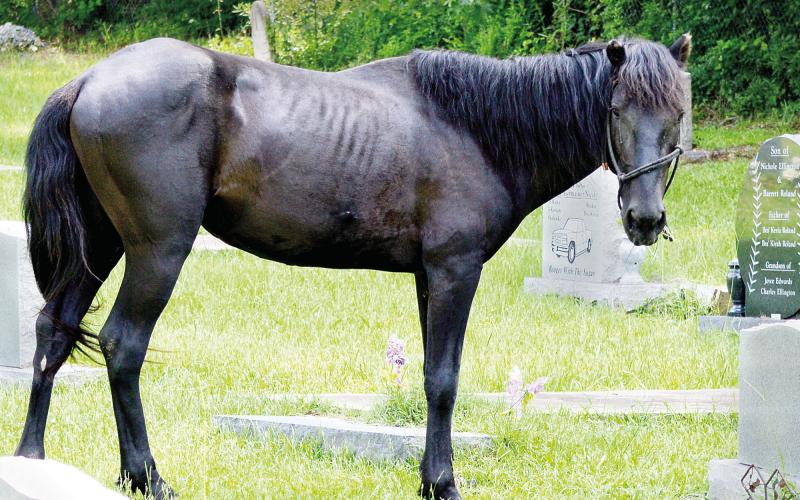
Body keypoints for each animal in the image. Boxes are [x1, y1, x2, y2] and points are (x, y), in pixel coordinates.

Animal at [15, 34, 691, 499]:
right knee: (122, 347)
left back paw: (31, 462)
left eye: (679, 113)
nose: (645, 219)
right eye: (618, 110)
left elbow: (431, 377)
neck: (473, 127)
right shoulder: (454, 272)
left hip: (99, 248)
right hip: (157, 251)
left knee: (53, 334)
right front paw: (442, 483)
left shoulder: (427, 279)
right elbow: (444, 380)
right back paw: (147, 478)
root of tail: (89, 80)